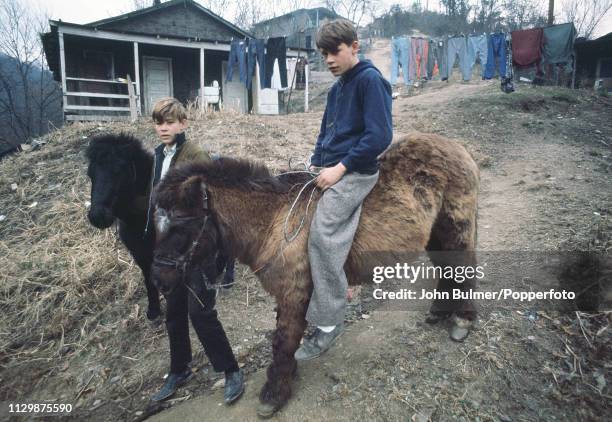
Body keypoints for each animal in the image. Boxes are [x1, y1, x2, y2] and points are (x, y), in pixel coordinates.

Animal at [152, 134, 478, 418]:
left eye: (180, 225)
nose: (159, 279)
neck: (274, 220)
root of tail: (457, 147)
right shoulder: (287, 293)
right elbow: (285, 336)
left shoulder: (294, 293)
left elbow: (283, 340)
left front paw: (275, 392)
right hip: (436, 233)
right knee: (447, 269)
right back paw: (440, 312)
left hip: (455, 228)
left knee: (464, 269)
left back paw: (463, 320)